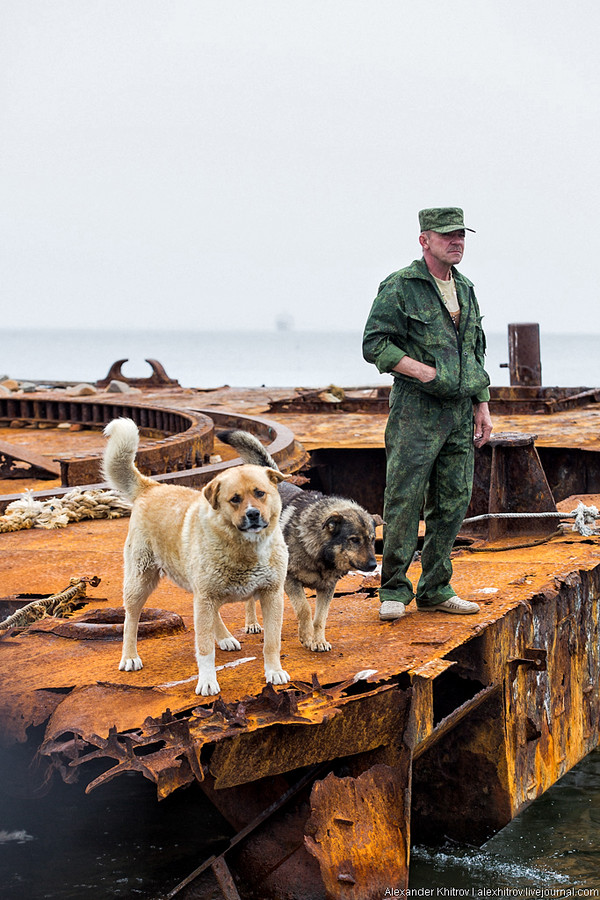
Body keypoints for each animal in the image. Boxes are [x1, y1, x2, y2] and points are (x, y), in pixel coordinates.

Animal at [102, 420, 290, 696]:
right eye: (235, 499)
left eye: (260, 493)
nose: (253, 514)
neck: (245, 550)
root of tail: (151, 487)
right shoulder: (206, 598)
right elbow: (204, 648)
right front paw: (208, 681)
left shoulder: (271, 595)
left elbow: (272, 642)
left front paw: (274, 672)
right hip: (141, 581)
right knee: (131, 620)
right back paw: (129, 657)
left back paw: (225, 637)